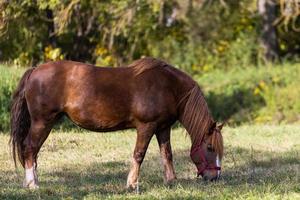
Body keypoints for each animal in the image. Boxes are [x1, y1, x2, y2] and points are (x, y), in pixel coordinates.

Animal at [9, 56, 223, 189]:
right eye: (210, 148)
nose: (215, 178)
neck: (168, 86)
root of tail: (35, 70)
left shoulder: (163, 128)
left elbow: (167, 154)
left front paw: (171, 181)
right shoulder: (146, 126)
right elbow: (139, 154)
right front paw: (132, 184)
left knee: (33, 151)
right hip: (42, 122)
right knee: (30, 148)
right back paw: (33, 184)